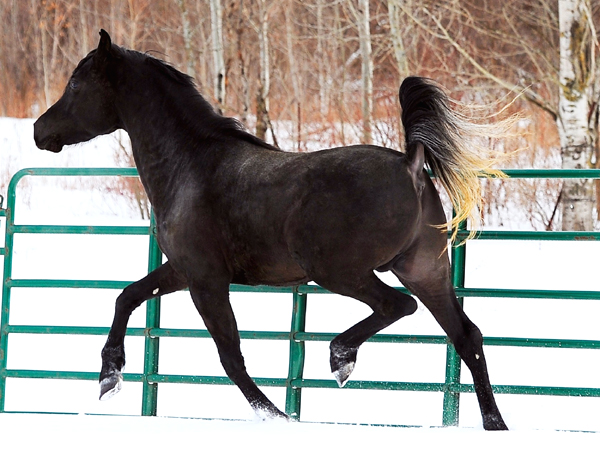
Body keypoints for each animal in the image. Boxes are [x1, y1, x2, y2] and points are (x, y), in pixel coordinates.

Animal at [34, 29, 506, 430]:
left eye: (75, 84)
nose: (40, 130)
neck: (189, 166)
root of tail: (410, 163)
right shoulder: (182, 270)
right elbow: (127, 296)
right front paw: (109, 375)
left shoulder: (205, 280)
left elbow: (230, 357)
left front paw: (277, 416)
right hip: (425, 270)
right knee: (466, 336)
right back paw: (494, 424)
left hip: (340, 272)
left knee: (398, 306)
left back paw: (341, 358)